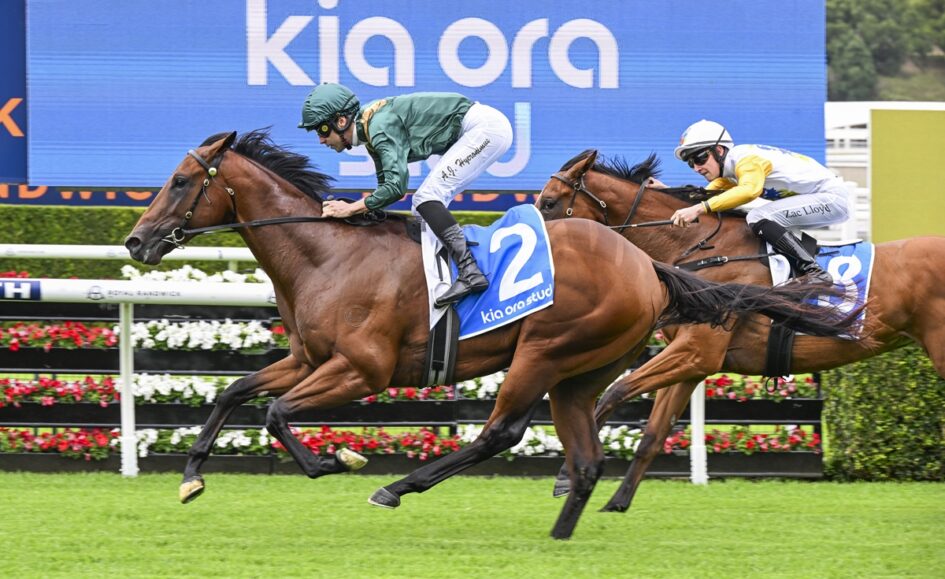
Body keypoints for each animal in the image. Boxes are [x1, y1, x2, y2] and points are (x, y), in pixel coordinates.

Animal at [124, 131, 862, 539]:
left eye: (182, 181)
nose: (135, 241)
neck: (326, 253)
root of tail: (644, 263)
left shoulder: (360, 368)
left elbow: (275, 412)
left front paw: (337, 460)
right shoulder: (309, 358)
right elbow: (236, 392)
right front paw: (191, 477)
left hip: (544, 350)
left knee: (501, 432)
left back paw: (399, 486)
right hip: (581, 367)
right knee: (586, 448)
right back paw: (563, 524)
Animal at [536, 149, 945, 511]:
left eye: (549, 202)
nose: (537, 248)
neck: (700, 249)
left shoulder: (696, 351)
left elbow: (613, 392)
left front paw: (565, 476)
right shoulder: (692, 362)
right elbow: (652, 434)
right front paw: (616, 501)